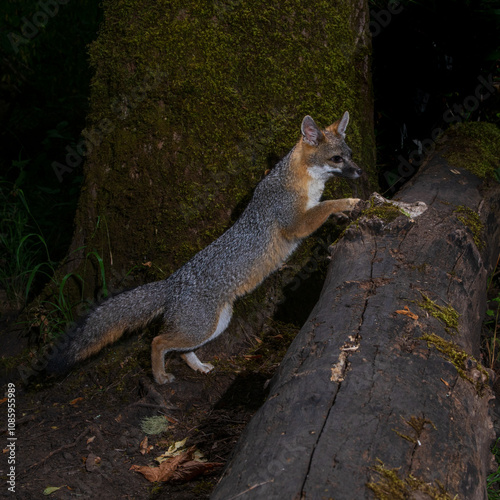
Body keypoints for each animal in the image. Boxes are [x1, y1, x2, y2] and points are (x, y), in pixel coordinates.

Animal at [45, 113, 362, 384]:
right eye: (337, 158)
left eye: (350, 154)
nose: (360, 171)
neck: (302, 182)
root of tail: (171, 283)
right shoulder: (293, 222)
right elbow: (325, 206)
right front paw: (348, 202)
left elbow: (324, 208)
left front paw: (343, 213)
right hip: (202, 327)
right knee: (158, 342)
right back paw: (160, 376)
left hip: (214, 325)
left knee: (180, 349)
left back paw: (197, 366)